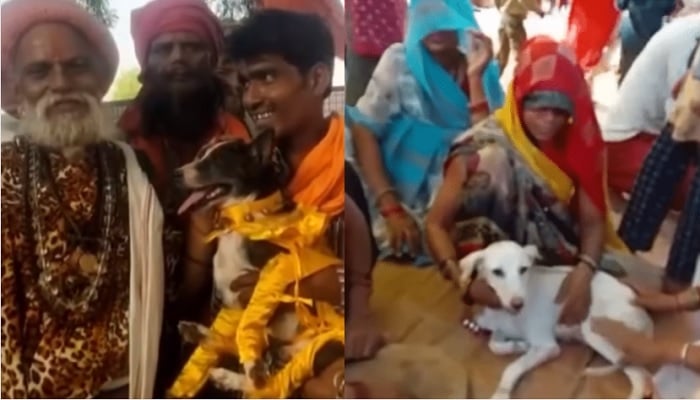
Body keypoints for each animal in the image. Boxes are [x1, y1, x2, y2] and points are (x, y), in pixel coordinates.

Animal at [460, 242, 656, 398]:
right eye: (497, 272)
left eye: (523, 269)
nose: (518, 304)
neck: (504, 312)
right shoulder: (501, 330)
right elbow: (494, 345)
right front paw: (519, 346)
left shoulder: (548, 347)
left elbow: (512, 368)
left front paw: (501, 393)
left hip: (595, 331)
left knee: (642, 377)